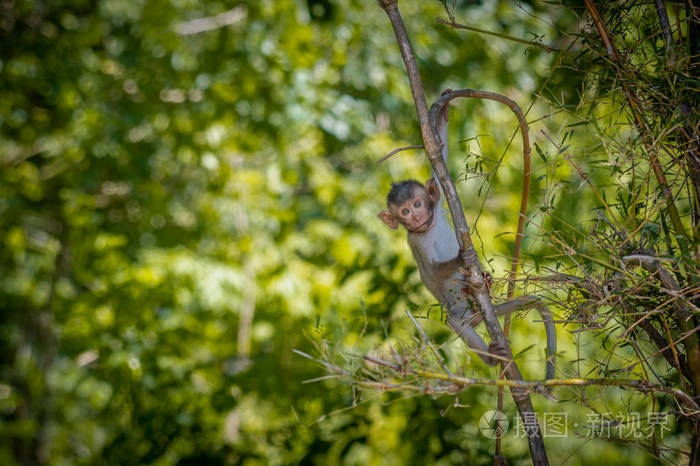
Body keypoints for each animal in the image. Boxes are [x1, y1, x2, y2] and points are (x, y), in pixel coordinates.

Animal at [380, 177, 556, 376]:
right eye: (405, 212)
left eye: (417, 204)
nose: (416, 218)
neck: (429, 228)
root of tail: (477, 314)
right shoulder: (416, 242)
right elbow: (431, 273)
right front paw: (461, 259)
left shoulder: (437, 208)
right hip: (460, 311)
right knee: (455, 321)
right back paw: (492, 357)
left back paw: (484, 284)